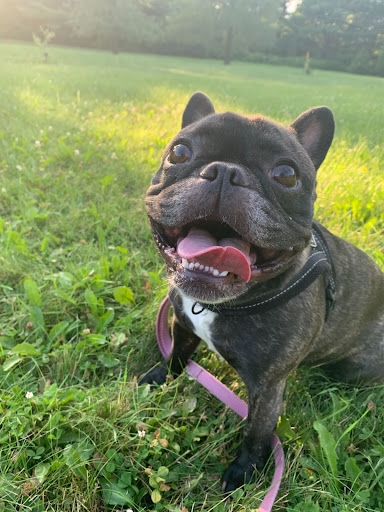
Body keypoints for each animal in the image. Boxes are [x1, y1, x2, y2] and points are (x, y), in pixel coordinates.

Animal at [140, 92, 384, 492]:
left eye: (286, 174)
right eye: (179, 152)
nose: (226, 171)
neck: (221, 305)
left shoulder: (268, 389)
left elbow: (256, 432)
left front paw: (243, 473)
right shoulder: (182, 324)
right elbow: (177, 354)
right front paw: (160, 377)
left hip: (352, 369)